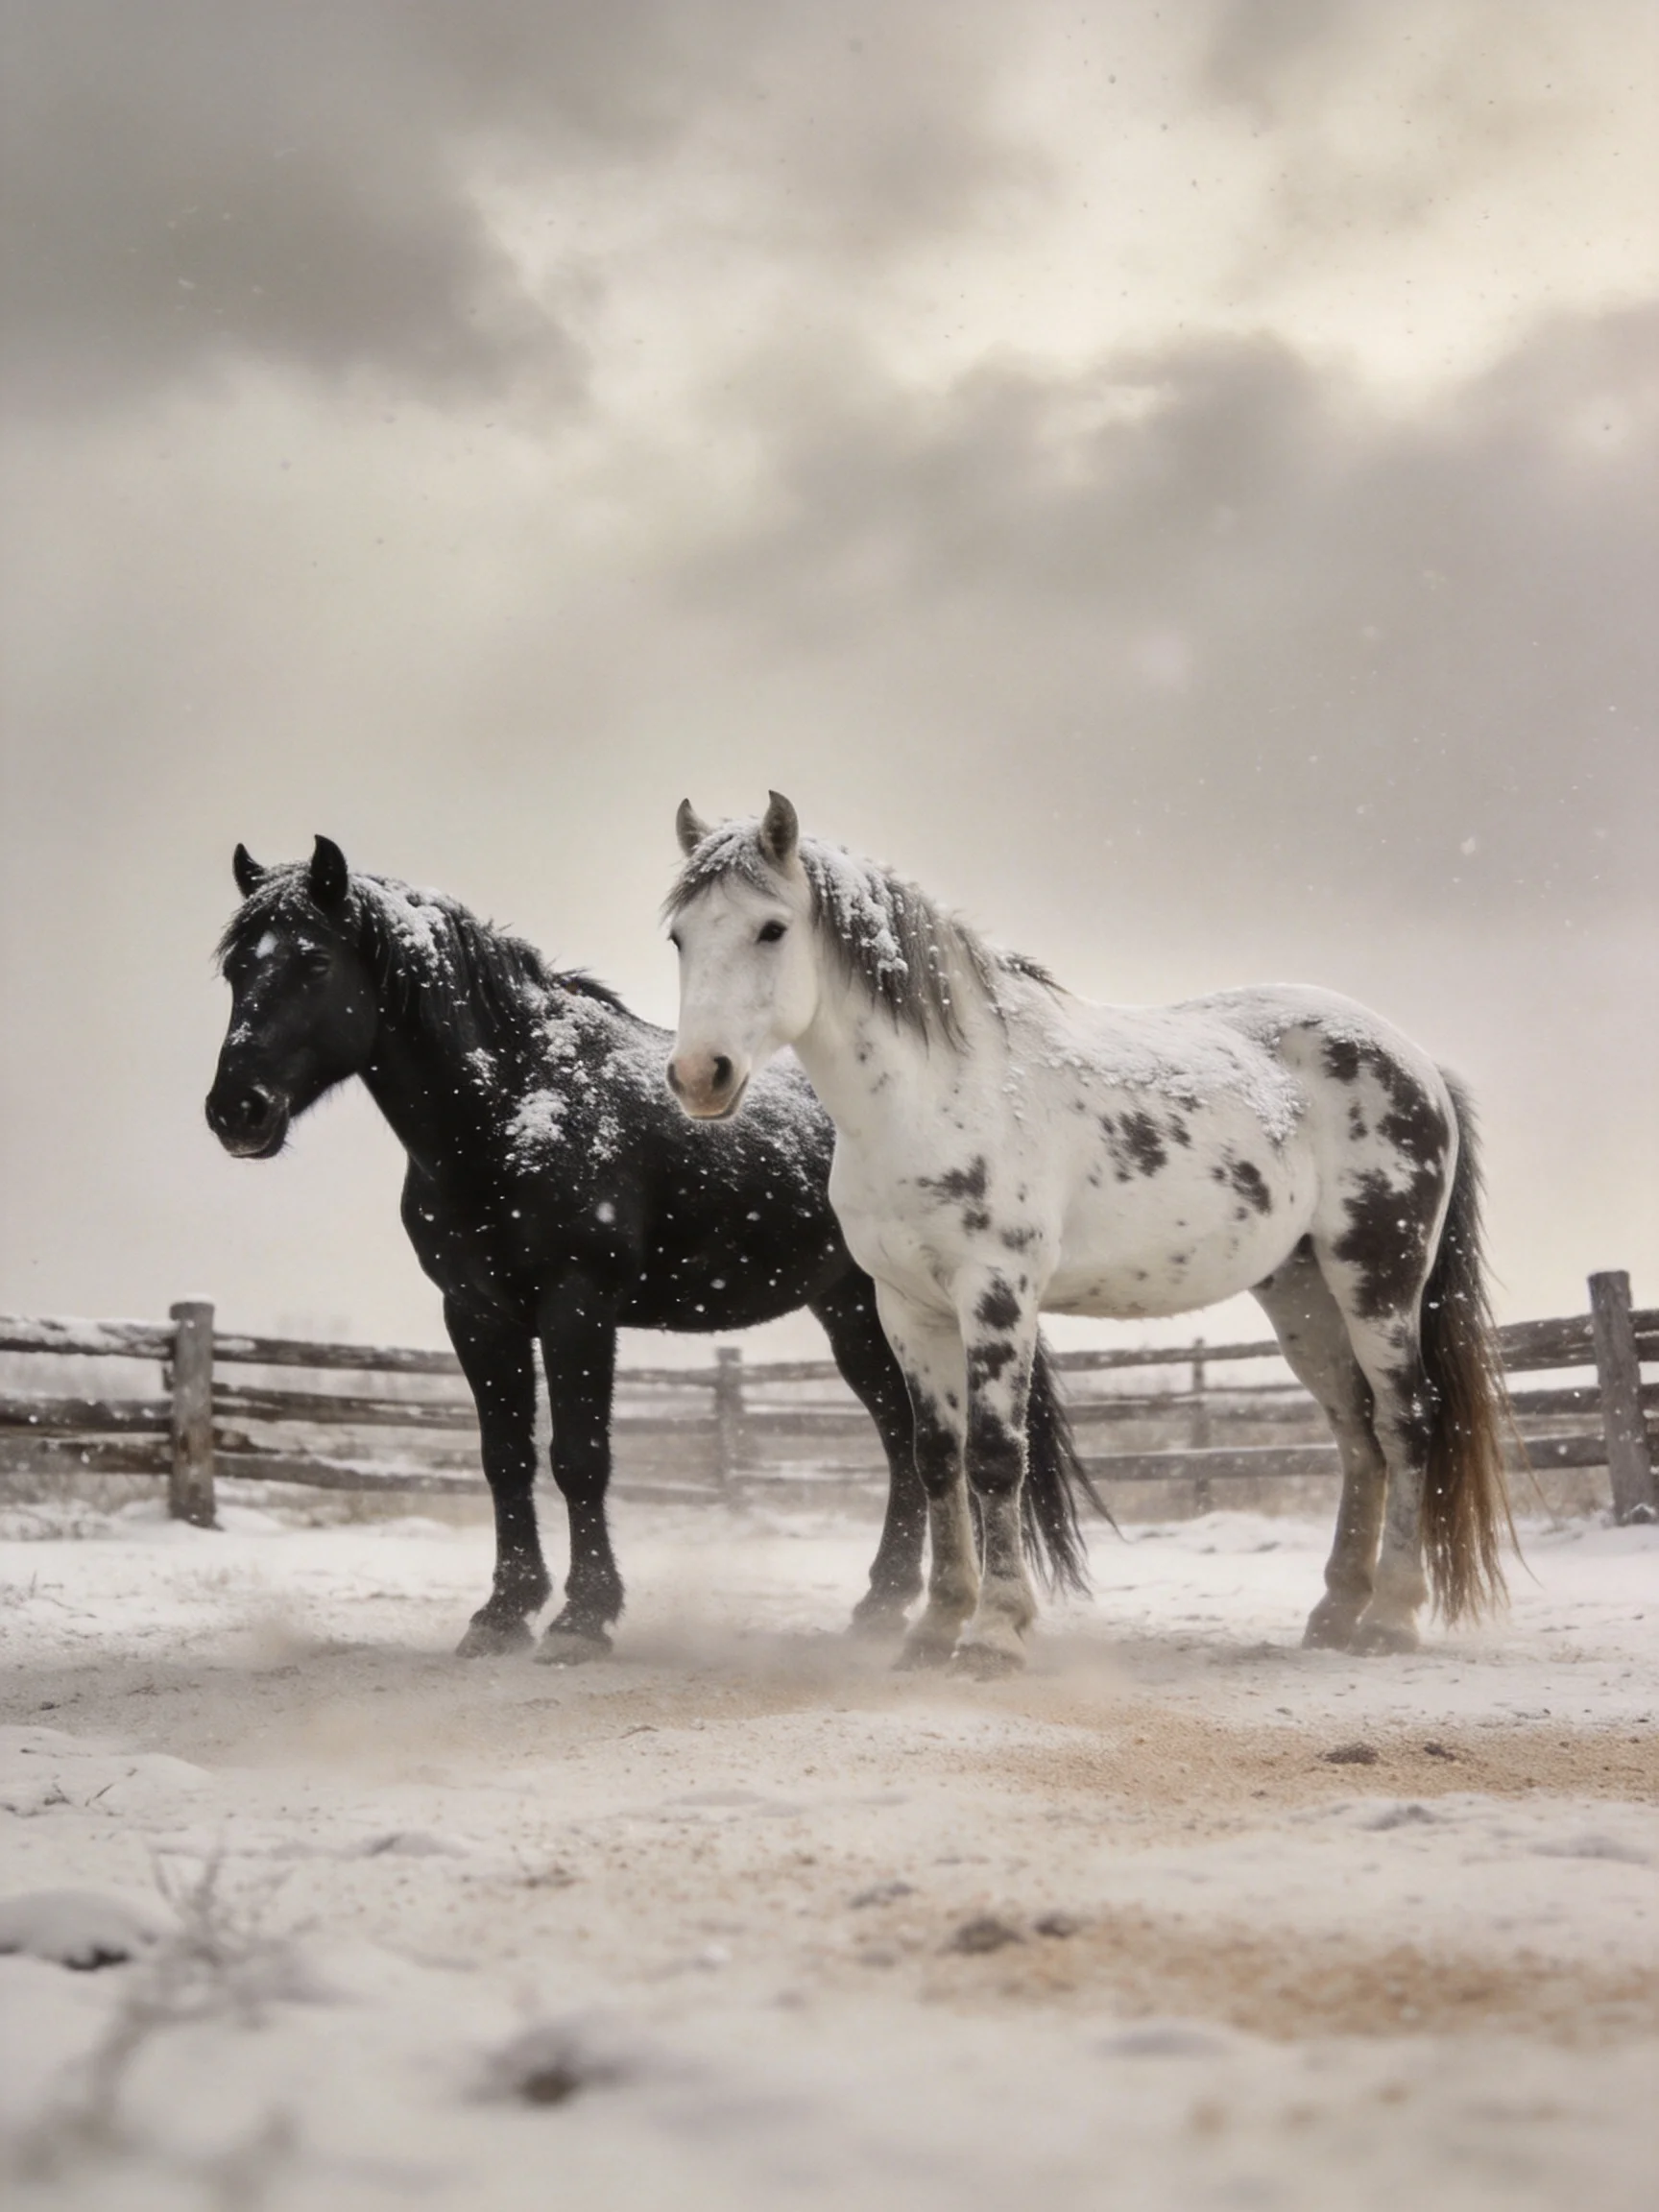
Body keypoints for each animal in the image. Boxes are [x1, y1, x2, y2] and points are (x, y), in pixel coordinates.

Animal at [206, 836, 1094, 1660]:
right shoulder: (477, 1313)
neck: (515, 1108)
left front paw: (583, 1617)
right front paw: (503, 1613)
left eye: (315, 961)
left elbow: (579, 1458)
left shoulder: (577, 1306)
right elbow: (504, 1459)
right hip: (854, 1314)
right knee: (902, 1442)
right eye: (235, 971)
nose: (235, 1111)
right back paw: (882, 1606)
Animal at [664, 793, 1515, 1675]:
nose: (699, 1076)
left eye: (771, 928)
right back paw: (1336, 1613)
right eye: (679, 937)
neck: (936, 1094)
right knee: (1355, 1433)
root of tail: (1418, 1063)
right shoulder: (908, 1307)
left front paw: (996, 1633)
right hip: (1303, 1295)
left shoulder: (997, 1295)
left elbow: (995, 1456)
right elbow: (937, 1458)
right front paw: (936, 1628)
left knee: (1407, 1421)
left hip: (1377, 1277)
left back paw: (1391, 1618)